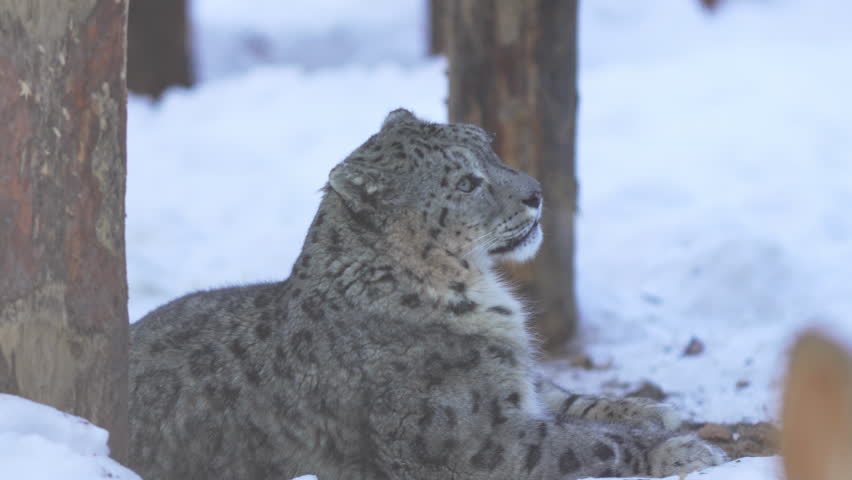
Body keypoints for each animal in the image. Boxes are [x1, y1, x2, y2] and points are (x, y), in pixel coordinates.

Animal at [128, 108, 727, 479]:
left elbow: (564, 397)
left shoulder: (512, 380)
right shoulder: (477, 442)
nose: (536, 193)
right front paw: (684, 450)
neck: (483, 296)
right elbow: (580, 444)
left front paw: (653, 412)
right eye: (464, 183)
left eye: (490, 148)